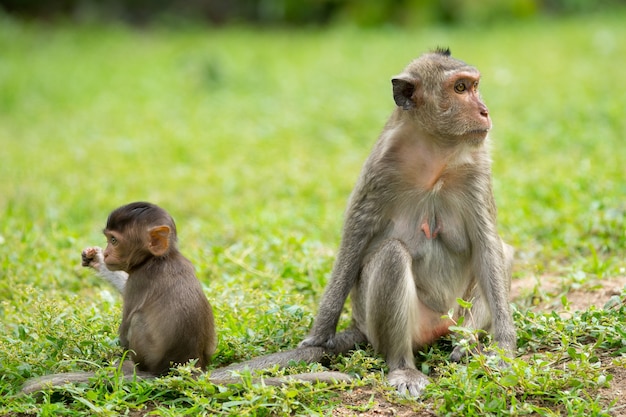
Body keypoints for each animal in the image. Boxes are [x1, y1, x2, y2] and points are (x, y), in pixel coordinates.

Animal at [300, 47, 516, 394]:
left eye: (474, 86)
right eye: (460, 88)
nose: (484, 111)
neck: (435, 152)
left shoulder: (477, 168)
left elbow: (486, 245)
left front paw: (504, 346)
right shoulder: (380, 167)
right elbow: (355, 238)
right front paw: (319, 335)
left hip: (456, 314)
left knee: (501, 250)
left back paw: (466, 344)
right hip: (390, 325)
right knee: (391, 254)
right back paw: (403, 367)